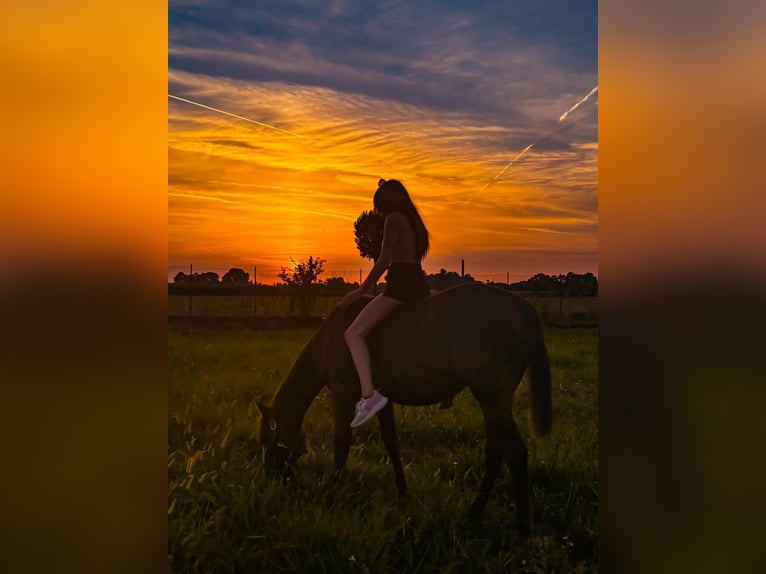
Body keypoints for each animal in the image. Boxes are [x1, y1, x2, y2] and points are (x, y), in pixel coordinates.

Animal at [256, 284, 552, 536]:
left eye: (268, 439)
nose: (272, 474)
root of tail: (520, 306)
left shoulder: (342, 397)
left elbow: (340, 449)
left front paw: (330, 500)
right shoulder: (382, 401)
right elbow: (391, 443)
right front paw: (403, 492)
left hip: (492, 400)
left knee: (512, 453)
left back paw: (510, 522)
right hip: (493, 404)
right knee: (499, 452)